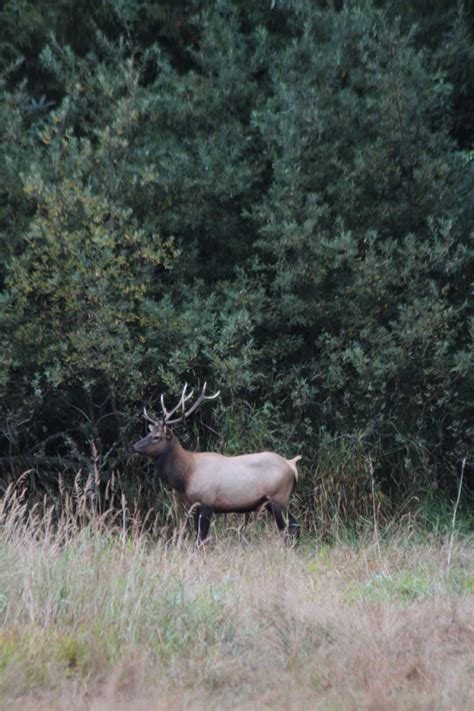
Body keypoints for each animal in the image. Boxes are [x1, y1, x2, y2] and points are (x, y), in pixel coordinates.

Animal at [133, 386, 300, 544]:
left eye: (156, 437)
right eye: (149, 433)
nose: (135, 446)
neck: (186, 476)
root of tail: (292, 465)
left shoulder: (207, 502)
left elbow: (201, 539)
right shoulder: (194, 506)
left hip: (279, 497)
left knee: (290, 526)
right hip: (272, 502)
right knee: (293, 525)